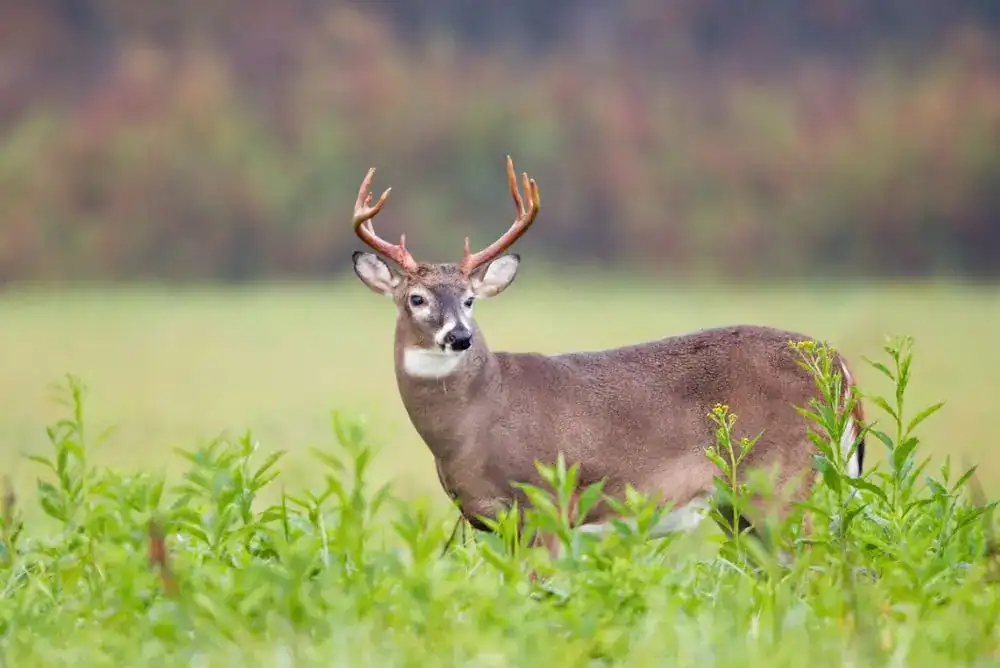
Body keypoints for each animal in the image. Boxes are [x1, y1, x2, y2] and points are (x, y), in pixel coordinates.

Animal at [348, 155, 866, 558]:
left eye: (470, 300)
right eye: (416, 298)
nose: (459, 337)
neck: (476, 423)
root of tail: (839, 367)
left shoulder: (549, 503)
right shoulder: (492, 521)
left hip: (780, 480)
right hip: (737, 505)